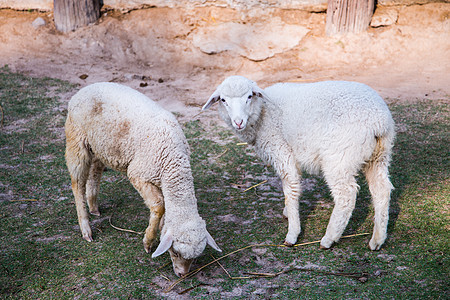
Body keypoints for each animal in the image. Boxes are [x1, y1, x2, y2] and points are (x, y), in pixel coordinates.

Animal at [65, 82, 221, 276]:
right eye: (175, 252)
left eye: (195, 257)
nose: (182, 275)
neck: (173, 162)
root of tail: (85, 88)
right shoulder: (139, 173)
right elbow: (159, 205)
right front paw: (148, 241)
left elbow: (164, 207)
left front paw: (160, 228)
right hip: (76, 139)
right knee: (77, 183)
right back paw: (86, 228)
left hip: (101, 145)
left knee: (95, 169)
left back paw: (93, 206)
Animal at [202, 75, 396, 251]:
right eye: (223, 100)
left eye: (249, 96)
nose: (238, 122)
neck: (263, 114)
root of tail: (378, 121)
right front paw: (288, 213)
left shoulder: (282, 151)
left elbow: (291, 189)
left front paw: (292, 233)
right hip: (379, 156)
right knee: (382, 190)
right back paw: (377, 239)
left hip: (339, 157)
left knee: (346, 195)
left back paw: (329, 238)